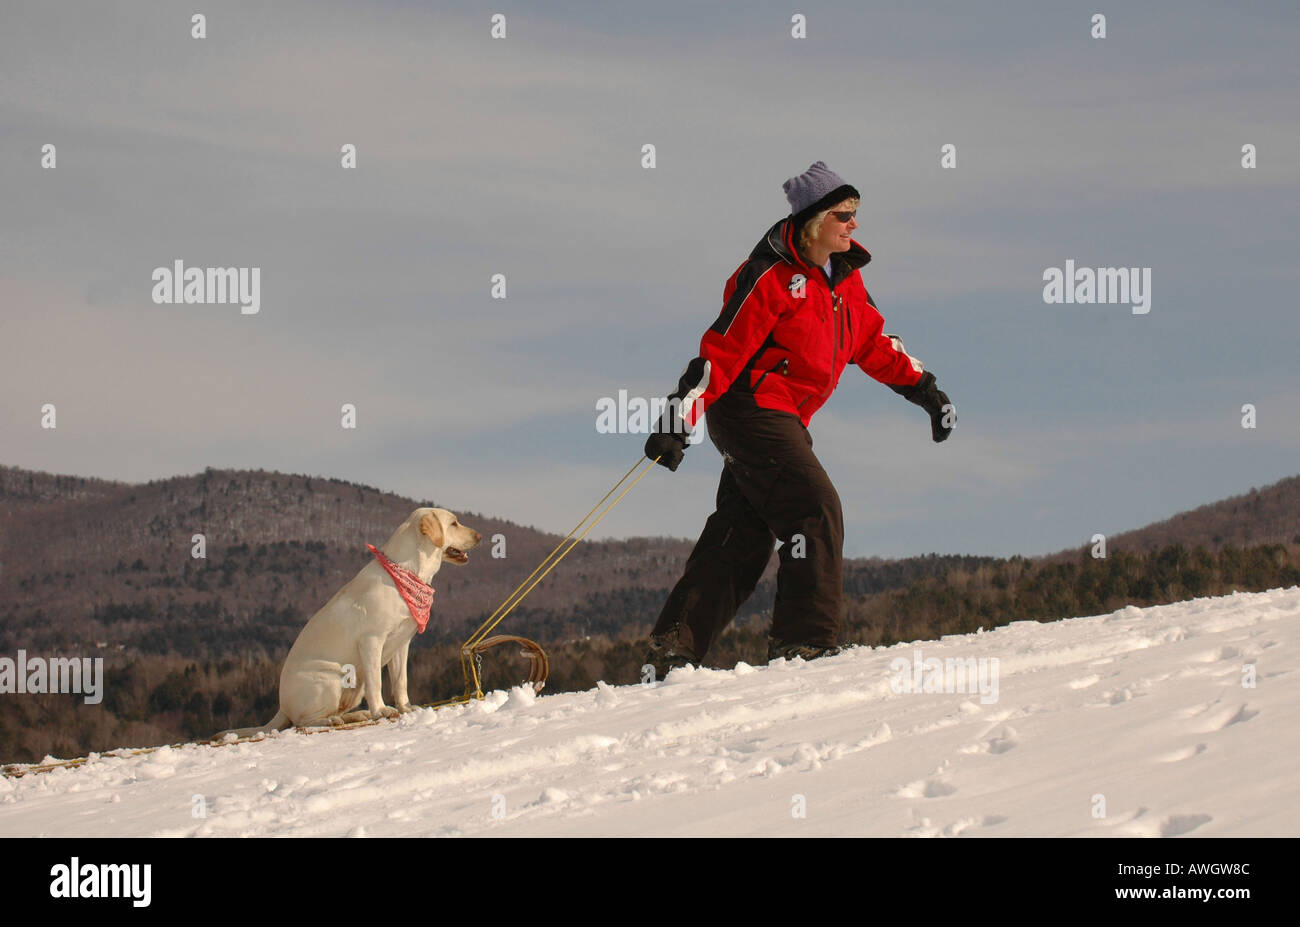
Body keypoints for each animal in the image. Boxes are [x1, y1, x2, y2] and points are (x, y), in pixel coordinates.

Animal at [213, 507, 483, 738]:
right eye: (454, 523)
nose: (480, 536)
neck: (407, 572)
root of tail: (282, 706)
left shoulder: (402, 644)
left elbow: (400, 681)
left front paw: (406, 707)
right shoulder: (372, 641)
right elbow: (377, 682)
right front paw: (381, 710)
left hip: (353, 687)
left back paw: (356, 715)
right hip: (332, 677)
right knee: (302, 721)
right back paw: (333, 719)